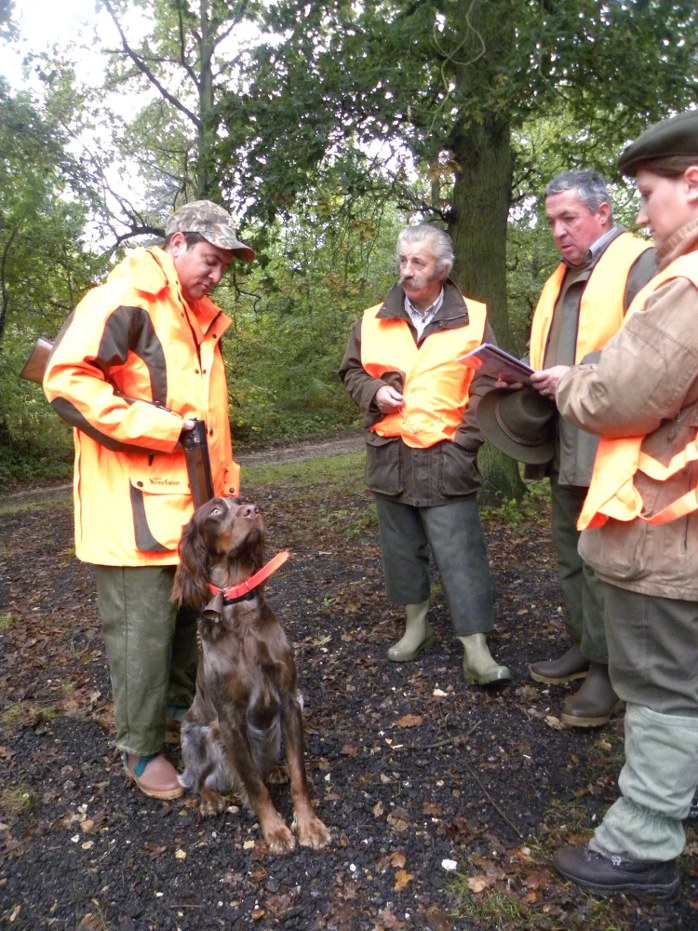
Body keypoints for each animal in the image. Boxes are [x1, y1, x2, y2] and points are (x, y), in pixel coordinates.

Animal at [171, 498, 328, 856]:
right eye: (215, 511)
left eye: (242, 501)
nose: (253, 511)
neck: (240, 616)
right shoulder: (229, 720)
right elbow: (254, 785)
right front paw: (275, 830)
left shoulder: (289, 699)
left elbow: (300, 775)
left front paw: (308, 824)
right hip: (199, 734)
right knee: (198, 779)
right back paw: (211, 798)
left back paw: (275, 770)